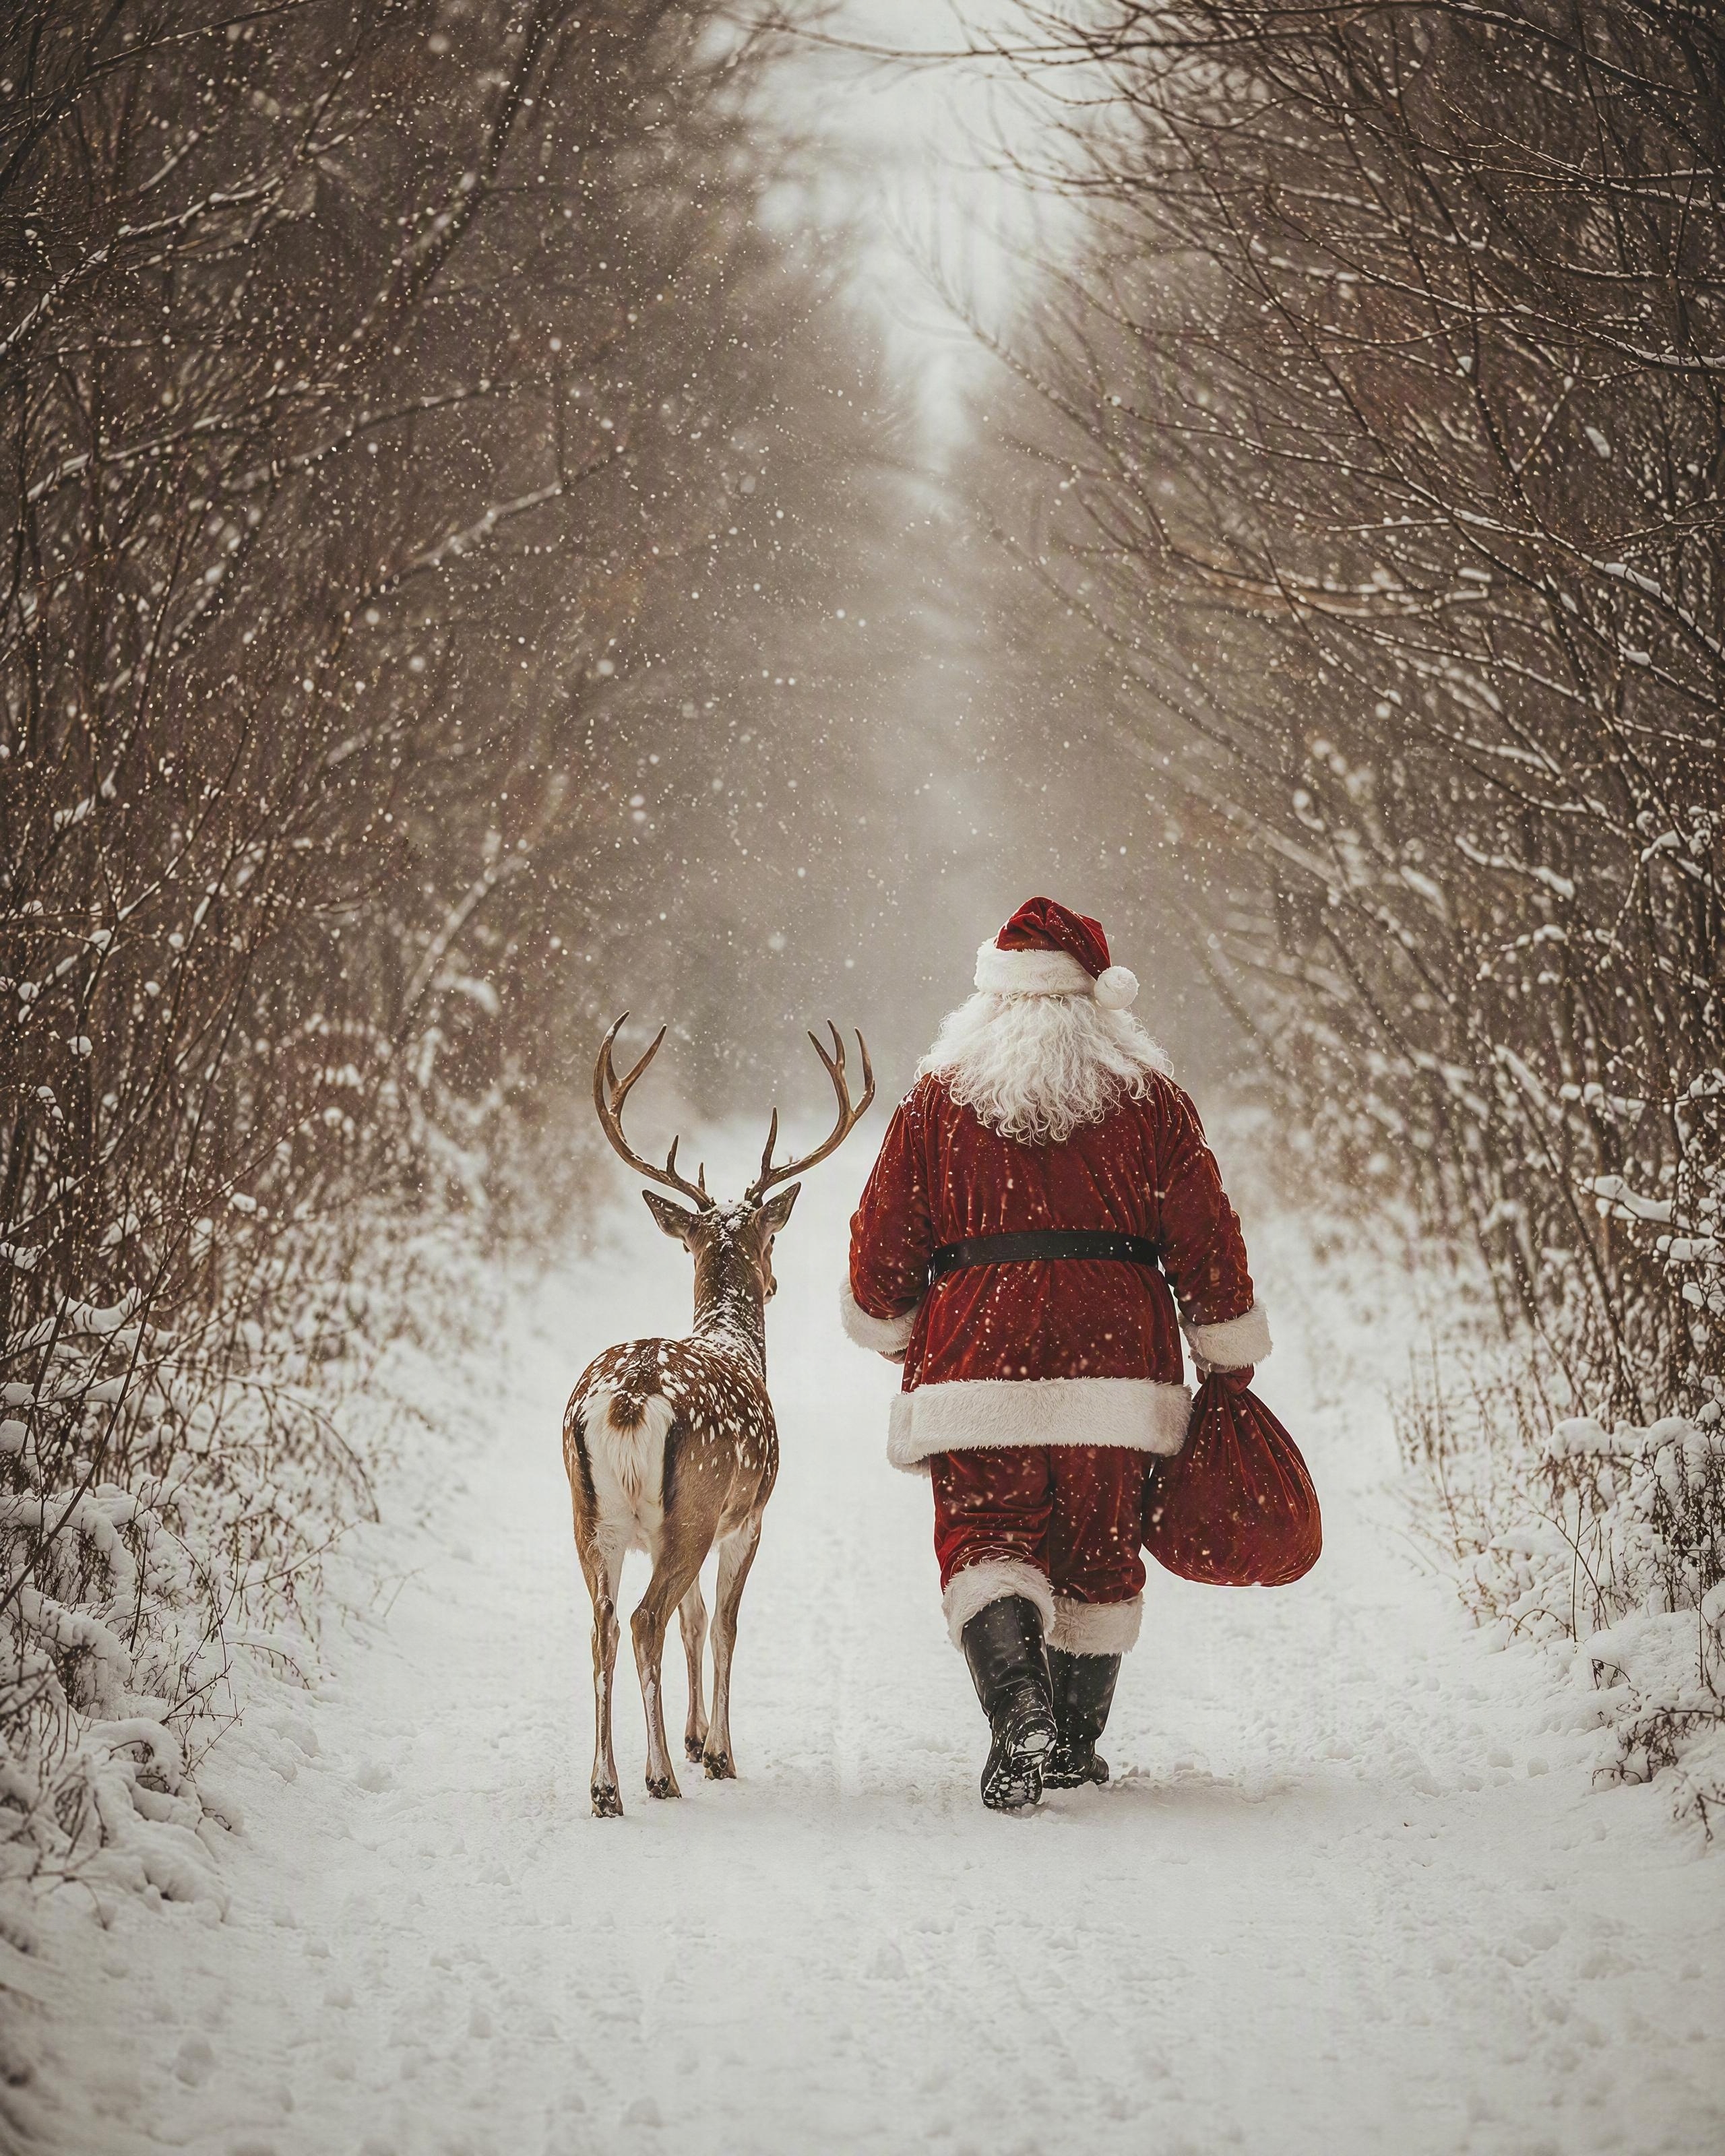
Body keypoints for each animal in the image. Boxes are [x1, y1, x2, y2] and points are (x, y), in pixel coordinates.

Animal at [563, 1015, 874, 1817]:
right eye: (774, 1234)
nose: (775, 1278)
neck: (733, 1340)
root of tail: (628, 1399)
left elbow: (696, 1620)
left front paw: (699, 1737)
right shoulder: (748, 1516)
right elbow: (727, 1624)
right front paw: (720, 1752)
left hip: (594, 1514)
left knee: (604, 1625)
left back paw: (606, 1785)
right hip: (697, 1504)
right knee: (644, 1619)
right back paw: (658, 1776)